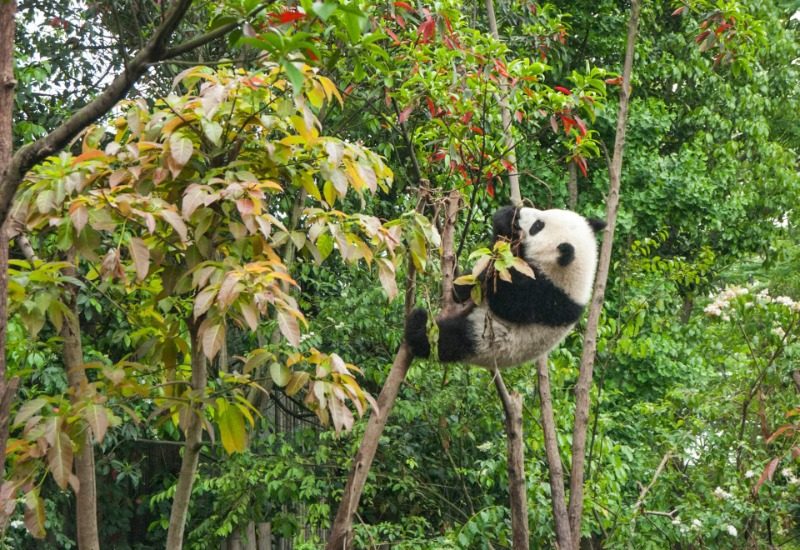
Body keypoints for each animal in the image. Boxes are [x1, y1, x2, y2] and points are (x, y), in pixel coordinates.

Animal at [406, 207, 608, 370]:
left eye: (538, 226)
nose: (520, 212)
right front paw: (505, 218)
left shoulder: (547, 297)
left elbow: (506, 301)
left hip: (484, 340)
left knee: (447, 340)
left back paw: (417, 323)